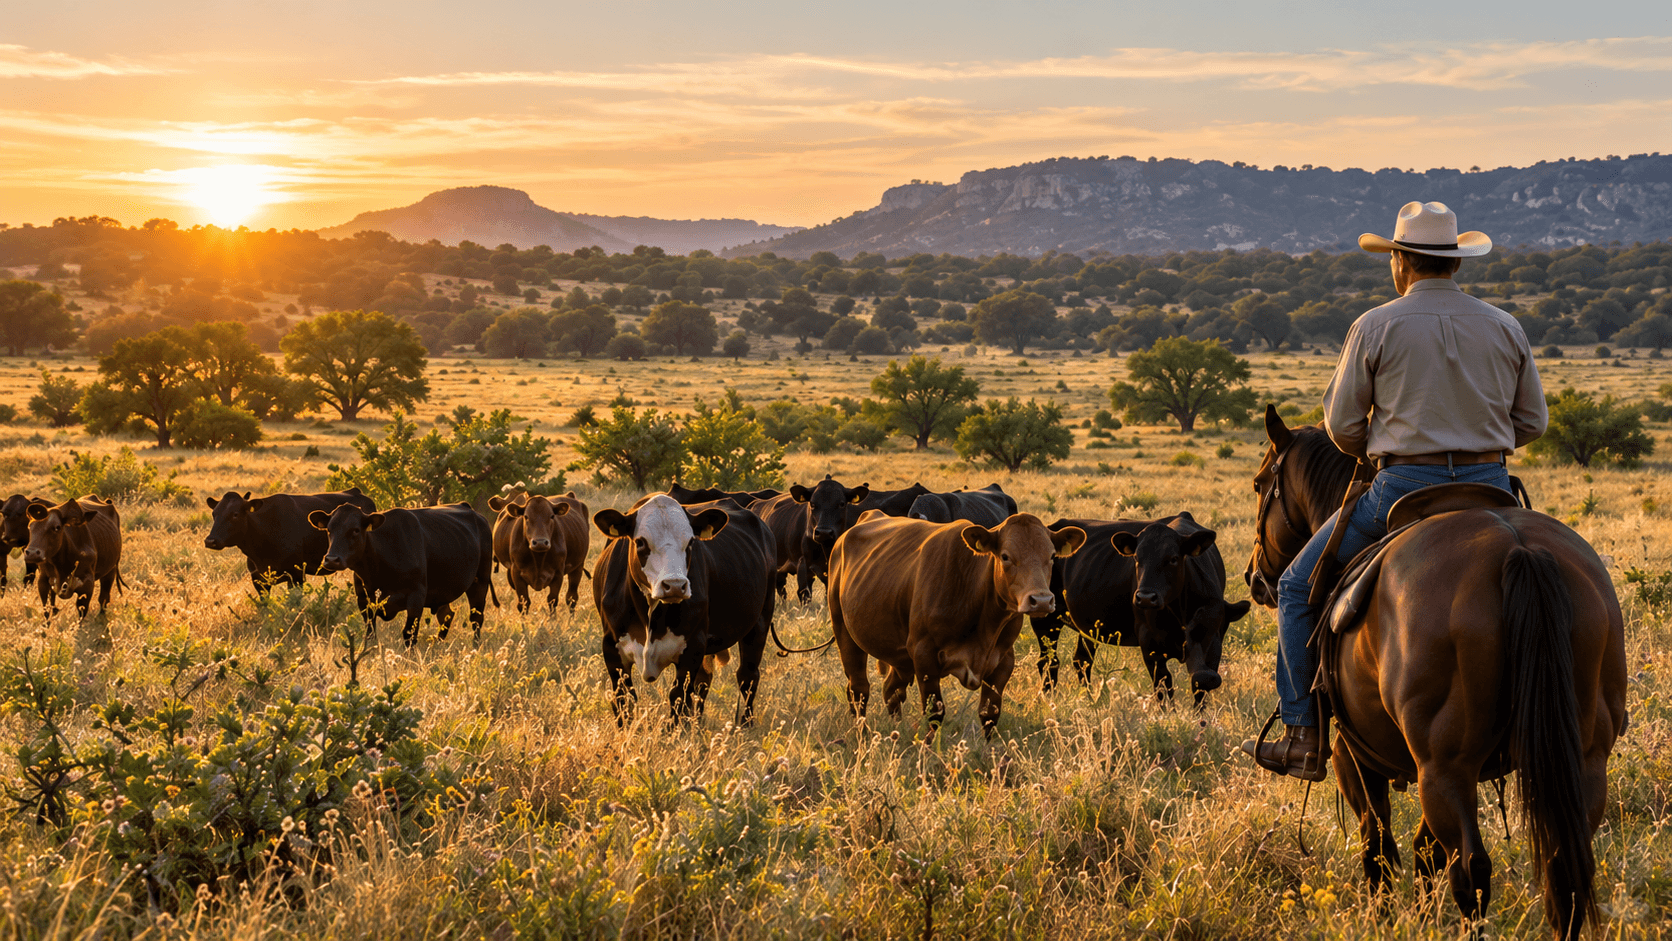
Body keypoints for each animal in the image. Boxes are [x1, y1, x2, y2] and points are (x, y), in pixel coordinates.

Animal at [309, 502, 496, 646]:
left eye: (355, 530)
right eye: (329, 530)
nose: (332, 559)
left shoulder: (416, 596)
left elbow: (409, 634)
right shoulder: (364, 599)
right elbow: (370, 632)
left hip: (480, 581)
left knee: (476, 618)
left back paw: (475, 647)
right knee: (446, 616)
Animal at [592, 495, 776, 724]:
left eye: (691, 542)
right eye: (640, 542)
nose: (675, 585)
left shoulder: (693, 646)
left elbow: (679, 697)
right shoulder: (611, 647)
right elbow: (624, 699)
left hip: (760, 621)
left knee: (747, 677)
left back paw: (745, 723)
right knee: (705, 680)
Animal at [827, 511, 1085, 735]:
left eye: (1052, 556)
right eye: (1005, 556)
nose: (1041, 600)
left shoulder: (1003, 660)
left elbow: (990, 713)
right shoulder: (924, 656)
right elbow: (934, 713)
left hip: (899, 656)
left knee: (891, 690)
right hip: (845, 633)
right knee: (859, 689)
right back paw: (862, 734)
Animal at [1029, 513, 1252, 705]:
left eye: (1173, 558)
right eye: (1137, 558)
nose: (1145, 597)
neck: (1179, 611)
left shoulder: (1212, 640)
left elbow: (1200, 687)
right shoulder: (1149, 644)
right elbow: (1163, 686)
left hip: (1088, 627)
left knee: (1081, 660)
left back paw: (1090, 700)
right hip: (1045, 619)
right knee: (1048, 661)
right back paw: (1051, 699)